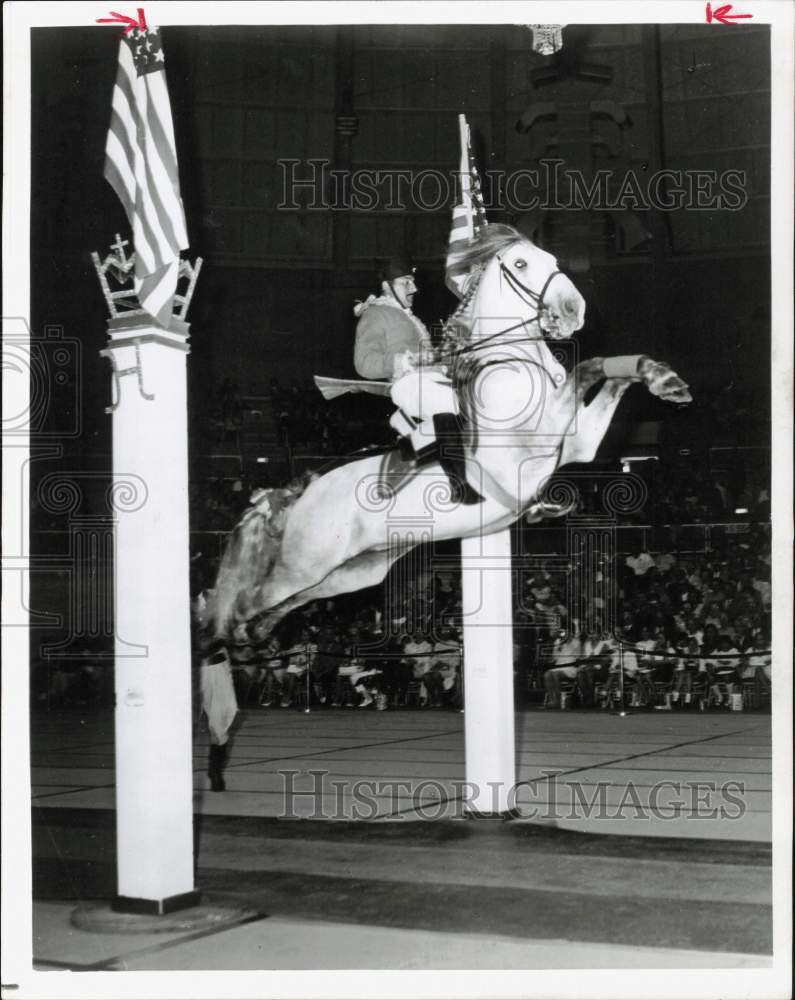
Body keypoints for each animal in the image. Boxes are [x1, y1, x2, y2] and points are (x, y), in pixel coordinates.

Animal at [211, 224, 692, 636]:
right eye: (521, 264)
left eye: (552, 259)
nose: (573, 311)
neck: (512, 361)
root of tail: (302, 491)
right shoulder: (532, 441)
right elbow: (586, 369)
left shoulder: (579, 443)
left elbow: (611, 370)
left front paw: (664, 380)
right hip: (305, 562)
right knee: (251, 597)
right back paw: (221, 631)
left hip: (356, 569)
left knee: (294, 599)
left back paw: (259, 631)